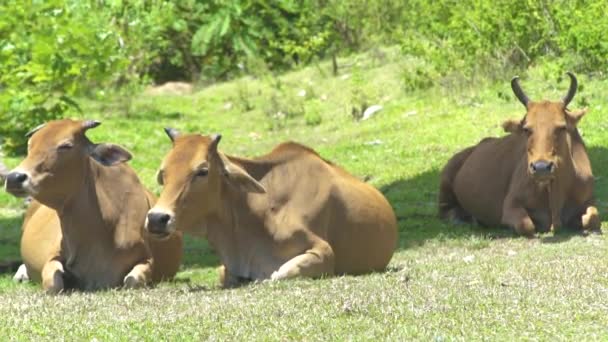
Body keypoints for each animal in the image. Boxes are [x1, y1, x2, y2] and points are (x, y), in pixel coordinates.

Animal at [4, 119, 183, 292]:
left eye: (66, 146)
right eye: (30, 145)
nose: (14, 177)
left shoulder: (146, 259)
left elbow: (132, 281)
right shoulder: (52, 257)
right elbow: (53, 285)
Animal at [436, 73, 600, 236]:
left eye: (562, 127)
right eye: (526, 129)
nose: (541, 168)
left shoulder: (589, 200)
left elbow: (593, 218)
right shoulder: (511, 205)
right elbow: (526, 225)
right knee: (445, 211)